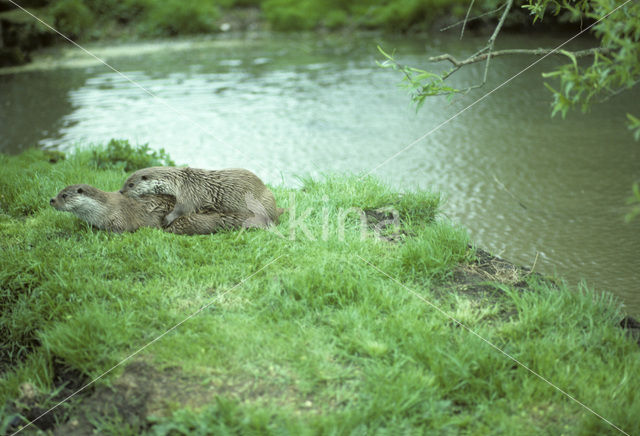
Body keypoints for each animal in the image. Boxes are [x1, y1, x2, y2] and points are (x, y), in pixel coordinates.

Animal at [120, 168, 280, 228]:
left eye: (131, 184)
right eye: (125, 182)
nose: (121, 191)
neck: (179, 183)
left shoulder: (189, 194)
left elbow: (182, 210)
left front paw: (166, 220)